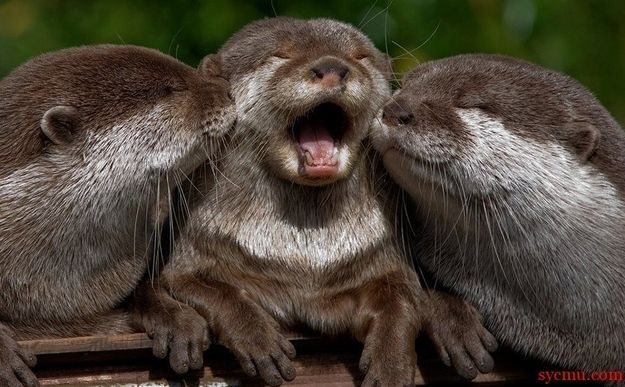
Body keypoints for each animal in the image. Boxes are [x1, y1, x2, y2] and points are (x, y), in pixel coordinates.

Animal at [135, 16, 498, 386]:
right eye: (280, 54)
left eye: (359, 55)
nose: (333, 67)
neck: (305, 263)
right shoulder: (194, 250)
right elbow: (210, 289)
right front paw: (257, 338)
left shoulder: (382, 257)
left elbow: (401, 298)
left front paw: (391, 365)